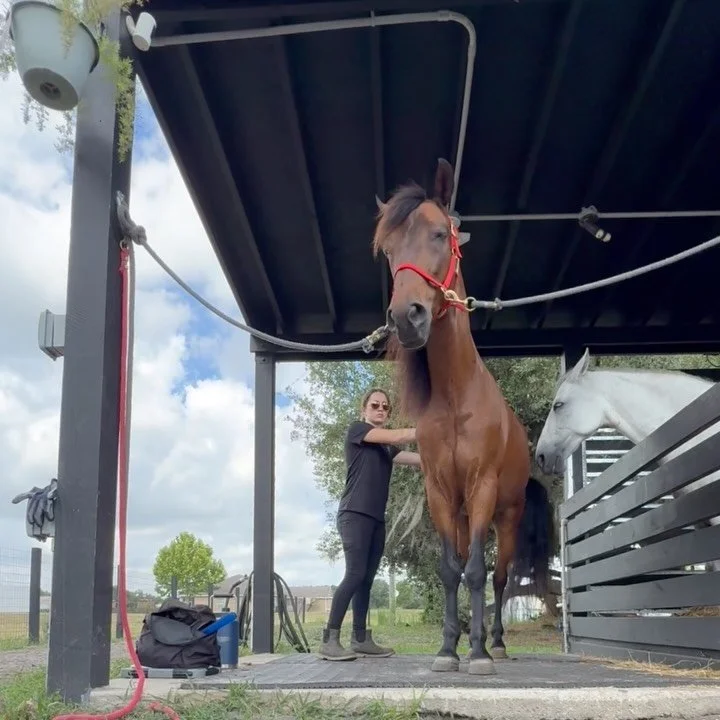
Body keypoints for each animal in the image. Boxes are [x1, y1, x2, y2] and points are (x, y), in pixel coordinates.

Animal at [373, 157, 555, 675]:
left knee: (500, 577)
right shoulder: (442, 494)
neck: (456, 397)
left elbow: (475, 571)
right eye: (388, 250)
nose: (406, 317)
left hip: (505, 517)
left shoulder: (481, 488)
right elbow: (449, 570)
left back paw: (496, 643)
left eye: (439, 234)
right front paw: (447, 649)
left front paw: (475, 653)